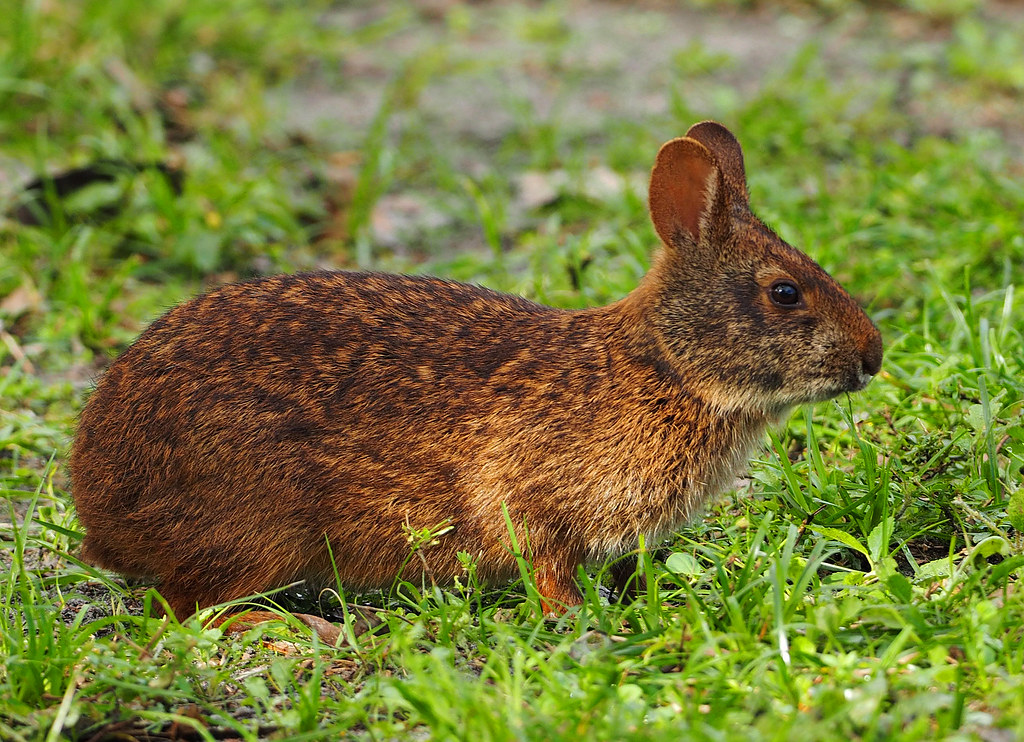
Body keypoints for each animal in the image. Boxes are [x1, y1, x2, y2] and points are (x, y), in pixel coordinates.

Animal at [70, 121, 882, 631]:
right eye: (785, 293)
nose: (872, 357)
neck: (666, 368)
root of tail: (102, 510)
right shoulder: (533, 498)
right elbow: (541, 561)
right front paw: (576, 619)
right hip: (257, 523)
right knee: (184, 613)